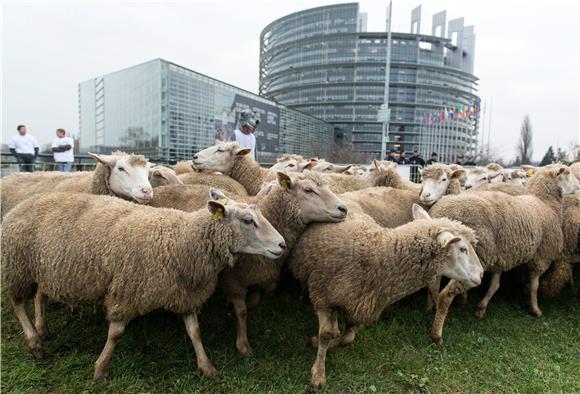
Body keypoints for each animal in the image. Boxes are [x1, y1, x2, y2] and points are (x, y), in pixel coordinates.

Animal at [1, 189, 284, 380]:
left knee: (39, 295)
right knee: (17, 303)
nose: (282, 244)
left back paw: (42, 329)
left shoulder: (184, 293)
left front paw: (207, 366)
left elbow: (194, 331)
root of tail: (20, 206)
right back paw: (34, 343)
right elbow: (116, 333)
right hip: (17, 266)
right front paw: (100, 369)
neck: (181, 238)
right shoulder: (129, 290)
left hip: (41, 267)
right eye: (247, 220)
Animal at [288, 205, 482, 390]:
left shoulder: (360, 305)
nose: (480, 274)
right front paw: (318, 372)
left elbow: (347, 339)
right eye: (463, 249)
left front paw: (327, 343)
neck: (378, 253)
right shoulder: (322, 297)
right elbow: (325, 335)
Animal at [428, 165, 576, 344]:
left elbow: (495, 286)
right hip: (472, 262)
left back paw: (434, 307)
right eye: (568, 173)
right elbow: (534, 285)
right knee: (446, 295)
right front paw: (535, 309)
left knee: (433, 286)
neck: (546, 203)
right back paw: (437, 333)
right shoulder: (541, 257)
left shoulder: (502, 257)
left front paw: (481, 308)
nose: (578, 186)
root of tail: (444, 216)